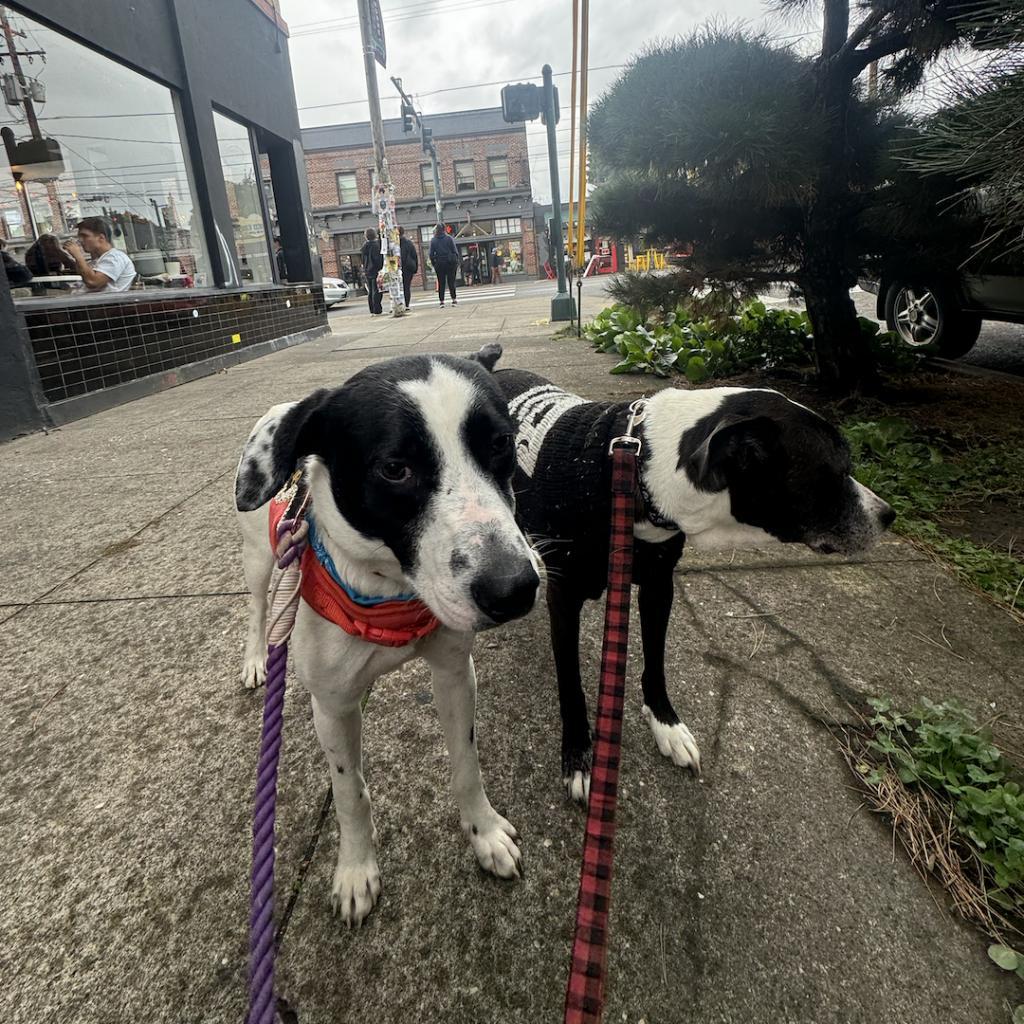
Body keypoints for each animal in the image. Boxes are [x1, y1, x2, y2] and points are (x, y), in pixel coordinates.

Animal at [236, 352, 544, 929]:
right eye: (395, 469)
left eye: (502, 444)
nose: (514, 589)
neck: (391, 593)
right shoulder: (333, 706)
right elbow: (349, 792)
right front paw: (356, 869)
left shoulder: (454, 673)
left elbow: (466, 764)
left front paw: (484, 832)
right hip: (261, 558)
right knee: (259, 607)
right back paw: (255, 660)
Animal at [471, 348, 897, 802]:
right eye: (835, 471)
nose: (888, 515)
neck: (635, 471)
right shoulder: (565, 601)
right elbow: (571, 684)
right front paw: (578, 754)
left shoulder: (659, 587)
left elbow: (655, 661)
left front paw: (666, 725)